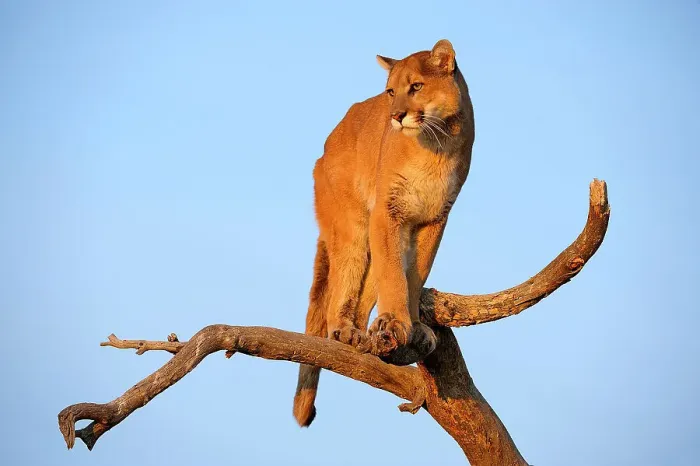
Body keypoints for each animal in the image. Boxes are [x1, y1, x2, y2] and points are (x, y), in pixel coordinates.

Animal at [293, 39, 475, 427]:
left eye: (416, 86)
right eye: (391, 91)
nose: (396, 115)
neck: (436, 146)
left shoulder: (433, 221)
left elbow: (415, 275)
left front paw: (414, 326)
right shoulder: (386, 214)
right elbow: (394, 276)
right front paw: (397, 321)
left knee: (365, 296)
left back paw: (363, 336)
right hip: (353, 228)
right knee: (340, 290)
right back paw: (344, 331)